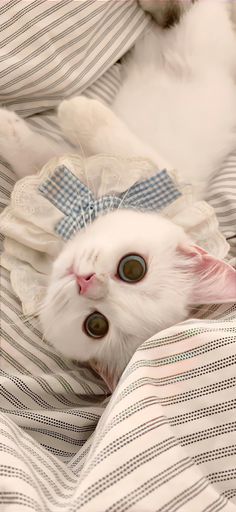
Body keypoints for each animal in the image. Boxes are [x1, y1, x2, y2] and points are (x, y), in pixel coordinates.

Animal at [0, 0, 236, 386]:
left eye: (97, 325)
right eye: (133, 268)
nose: (86, 281)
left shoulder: (156, 170)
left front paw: (73, 109)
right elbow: (41, 160)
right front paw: (11, 124)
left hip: (208, 39)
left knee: (203, 9)